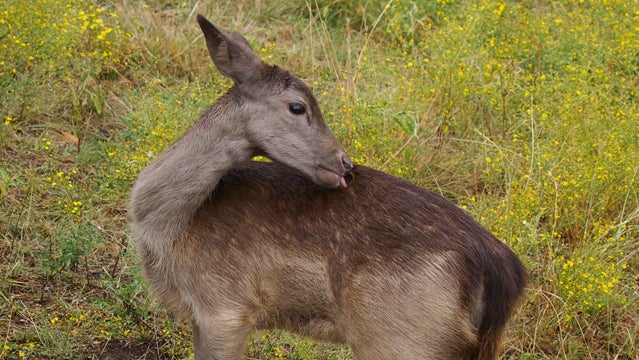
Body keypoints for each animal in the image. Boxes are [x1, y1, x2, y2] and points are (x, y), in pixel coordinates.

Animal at [129, 14, 524, 360]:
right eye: (297, 107)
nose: (346, 165)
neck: (173, 228)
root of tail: (504, 275)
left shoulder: (225, 306)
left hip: (402, 338)